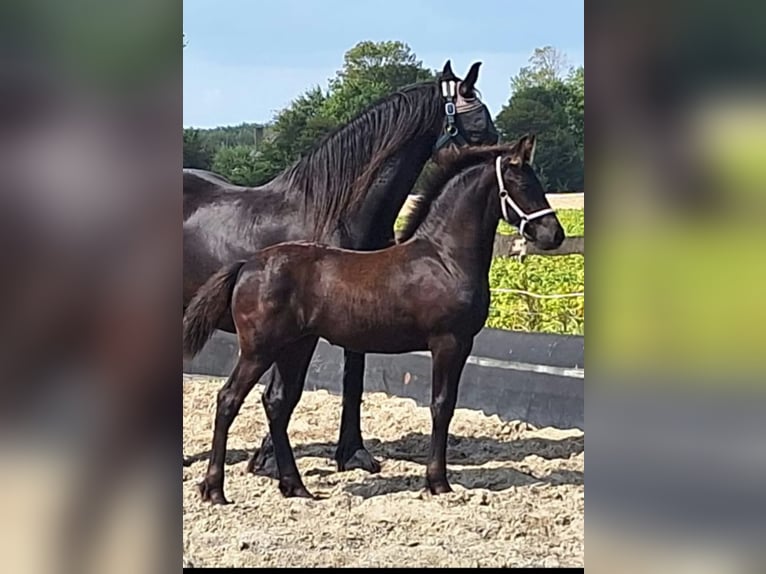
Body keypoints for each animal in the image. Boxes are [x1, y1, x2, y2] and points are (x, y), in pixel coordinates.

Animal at [182, 135, 565, 503]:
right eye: (520, 184)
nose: (554, 235)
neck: (443, 257)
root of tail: (247, 265)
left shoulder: (459, 345)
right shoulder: (449, 342)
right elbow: (441, 406)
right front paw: (438, 482)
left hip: (295, 347)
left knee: (277, 404)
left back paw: (295, 487)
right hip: (259, 350)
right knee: (229, 399)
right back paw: (215, 490)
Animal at [183, 60, 499, 477]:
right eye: (478, 120)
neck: (340, 211)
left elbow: (353, 381)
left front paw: (352, 453)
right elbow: (284, 392)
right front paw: (269, 460)